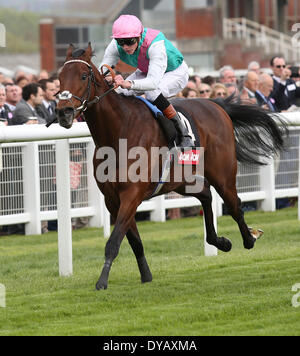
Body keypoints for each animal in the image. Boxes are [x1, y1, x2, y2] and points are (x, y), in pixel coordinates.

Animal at [55, 44, 284, 290]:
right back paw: (220, 241)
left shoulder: (131, 194)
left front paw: (102, 282)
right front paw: (146, 275)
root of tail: (216, 105)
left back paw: (250, 238)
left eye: (83, 76)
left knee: (235, 206)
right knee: (205, 194)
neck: (119, 133)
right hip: (180, 179)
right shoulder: (113, 199)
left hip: (222, 174)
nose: (63, 112)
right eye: (60, 78)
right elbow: (133, 240)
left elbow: (114, 241)